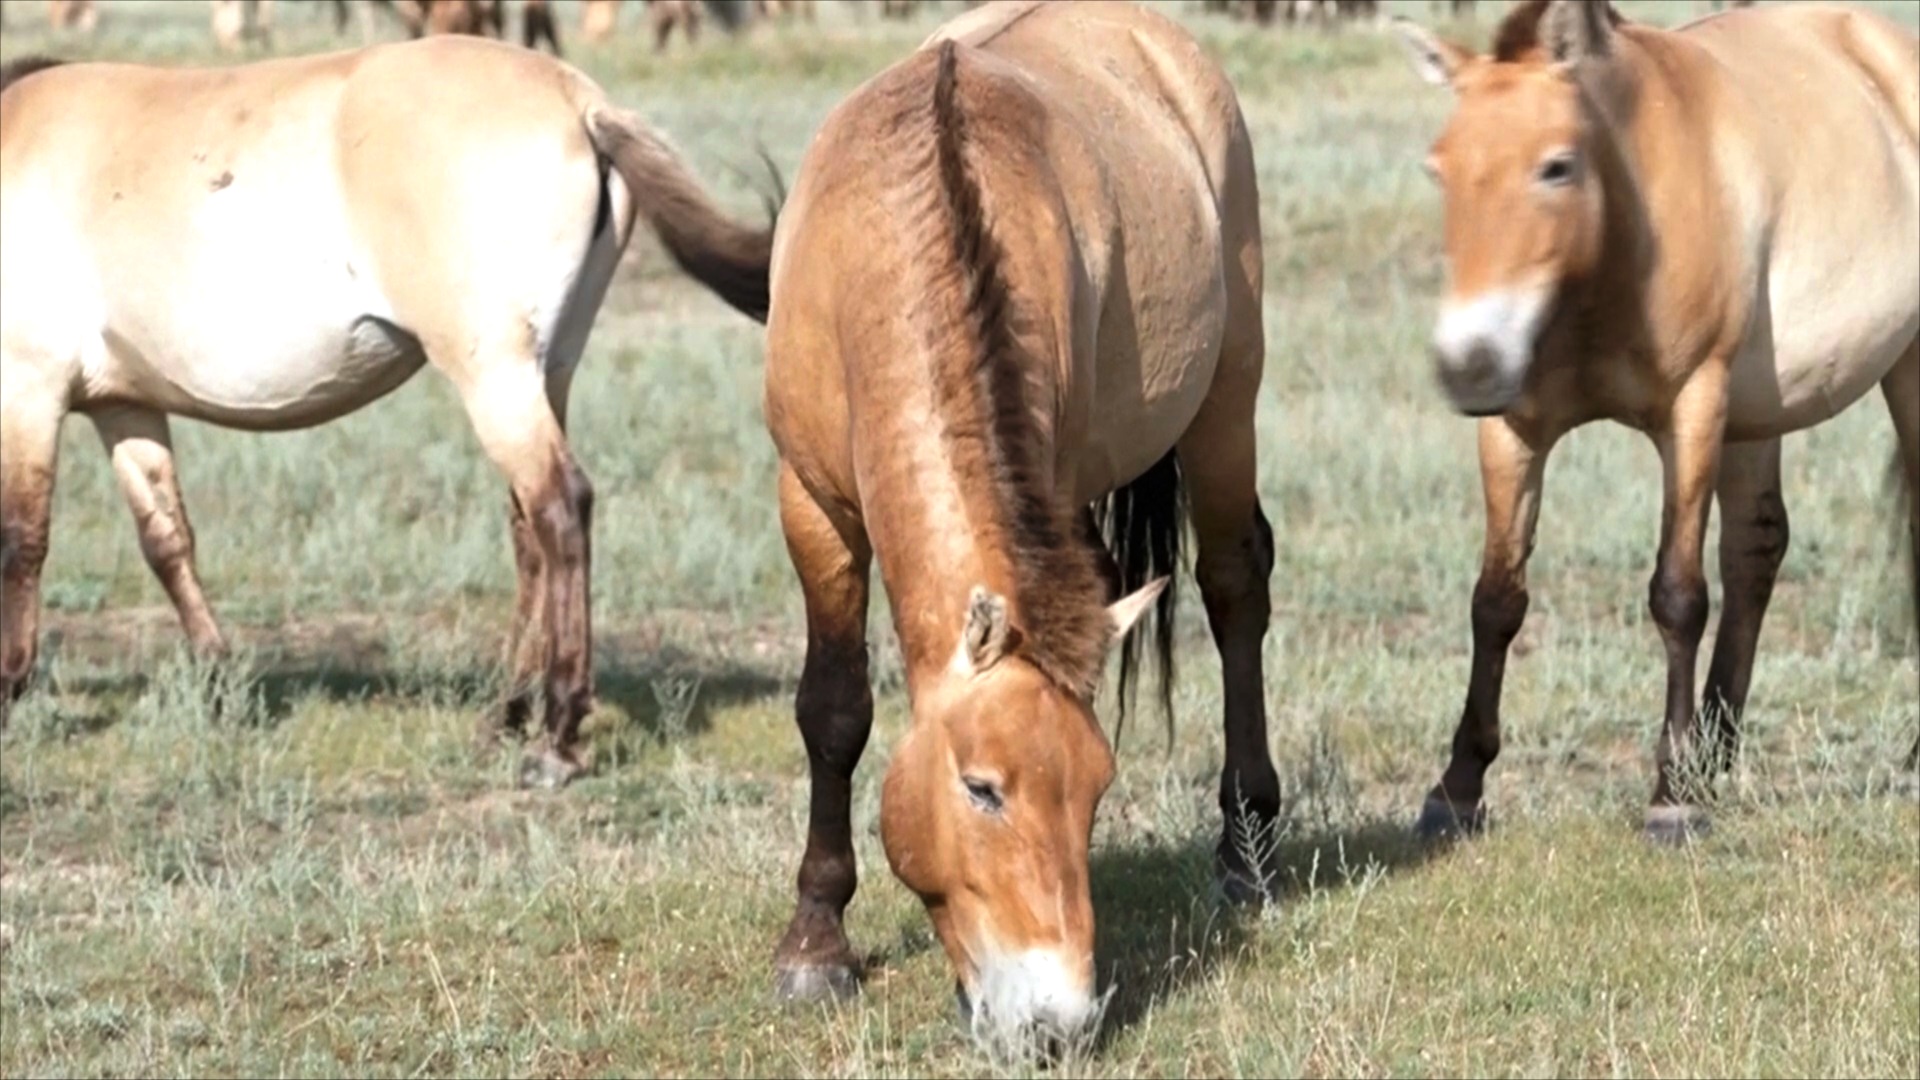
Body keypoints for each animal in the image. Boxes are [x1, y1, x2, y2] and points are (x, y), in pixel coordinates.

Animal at [1, 39, 779, 780]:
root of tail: (578, 102)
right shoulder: (124, 408)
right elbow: (167, 542)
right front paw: (221, 682)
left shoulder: (29, 392)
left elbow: (23, 540)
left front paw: (10, 691)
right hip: (549, 371)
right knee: (529, 527)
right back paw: (508, 713)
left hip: (494, 374)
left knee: (560, 508)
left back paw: (556, 736)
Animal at [756, 0, 1282, 1053]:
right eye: (980, 788)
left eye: (1097, 790)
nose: (1057, 1021)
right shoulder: (812, 505)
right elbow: (833, 709)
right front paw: (815, 943)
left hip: (1225, 403)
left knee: (1236, 588)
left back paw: (1246, 847)